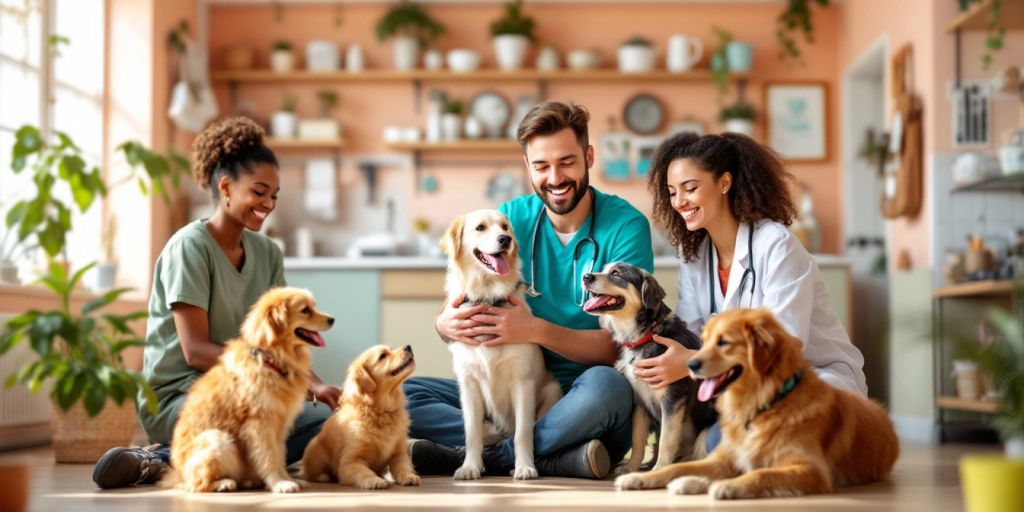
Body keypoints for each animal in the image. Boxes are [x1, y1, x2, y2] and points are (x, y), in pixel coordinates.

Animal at [161, 288, 333, 491]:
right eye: (305, 310)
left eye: (313, 306)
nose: (332, 319)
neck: (271, 360)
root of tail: (177, 474)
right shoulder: (259, 423)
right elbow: (268, 457)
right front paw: (279, 483)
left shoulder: (279, 426)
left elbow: (279, 456)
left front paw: (287, 479)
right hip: (217, 438)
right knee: (197, 484)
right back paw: (224, 483)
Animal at [299, 344, 419, 487]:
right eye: (382, 356)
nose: (408, 346)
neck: (381, 412)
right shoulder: (350, 461)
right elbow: (363, 471)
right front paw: (374, 480)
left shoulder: (399, 452)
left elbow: (402, 466)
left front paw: (409, 476)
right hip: (315, 449)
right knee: (310, 473)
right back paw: (321, 476)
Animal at [581, 262, 716, 473]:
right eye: (604, 269)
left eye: (616, 273)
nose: (586, 277)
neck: (646, 335)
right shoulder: (639, 401)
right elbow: (637, 439)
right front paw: (631, 466)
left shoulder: (672, 400)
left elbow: (667, 439)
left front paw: (660, 468)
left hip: (703, 436)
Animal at [614, 307, 897, 499]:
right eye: (705, 340)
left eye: (725, 343)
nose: (691, 364)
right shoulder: (724, 457)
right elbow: (672, 467)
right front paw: (638, 476)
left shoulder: (810, 469)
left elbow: (759, 474)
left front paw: (723, 486)